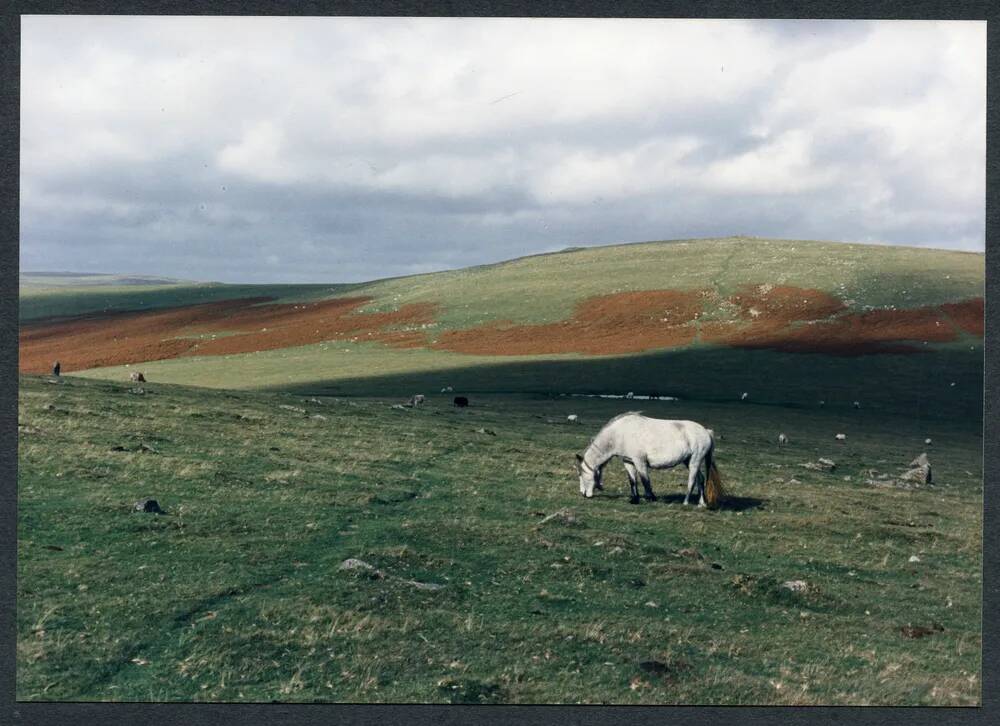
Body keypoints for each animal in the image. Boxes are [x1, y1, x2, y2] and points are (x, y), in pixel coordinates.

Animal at [576, 412, 724, 510]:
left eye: (582, 475)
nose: (583, 494)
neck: (620, 433)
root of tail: (706, 431)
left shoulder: (640, 462)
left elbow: (645, 480)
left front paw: (651, 498)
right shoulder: (629, 462)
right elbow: (633, 481)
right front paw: (634, 499)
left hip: (694, 461)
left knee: (692, 481)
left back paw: (686, 502)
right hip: (689, 462)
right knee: (701, 479)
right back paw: (701, 503)